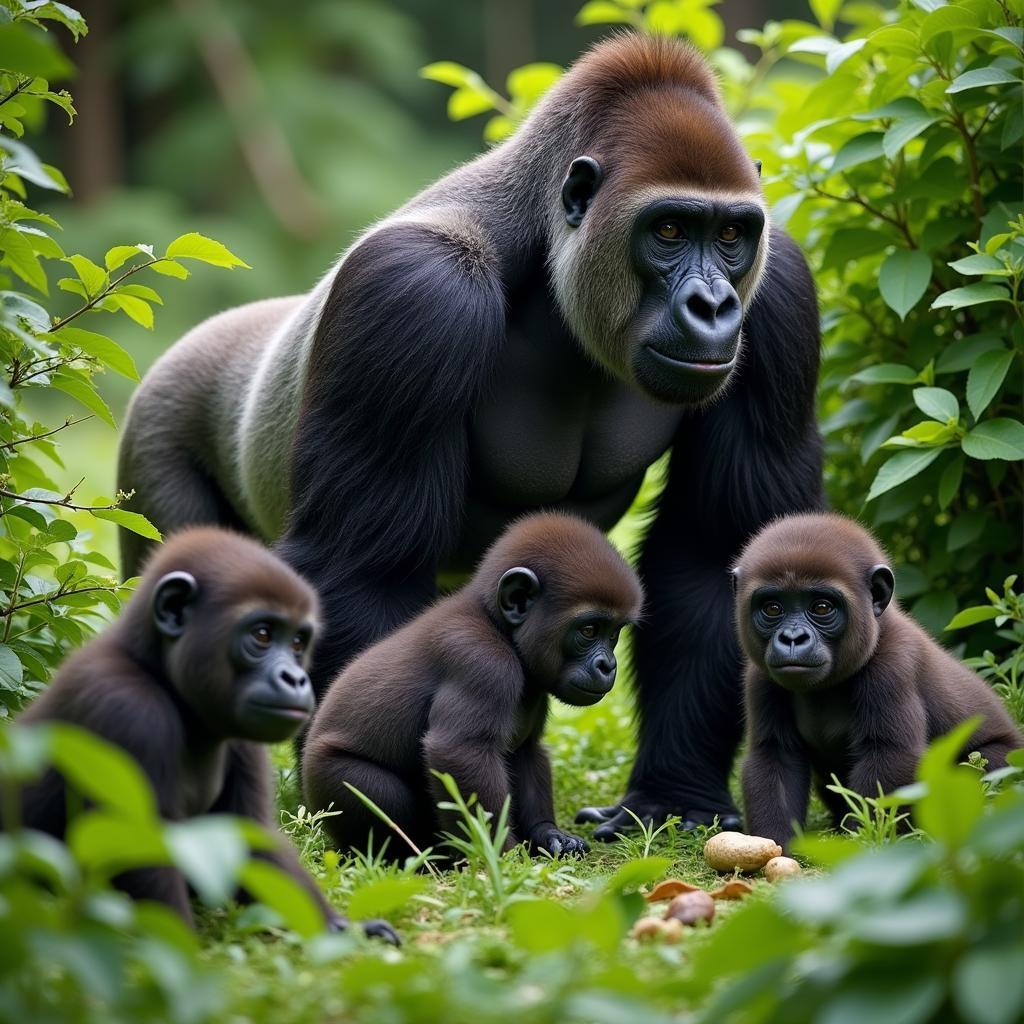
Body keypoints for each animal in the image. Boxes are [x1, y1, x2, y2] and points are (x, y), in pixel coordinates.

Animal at [18, 528, 399, 942]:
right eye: (262, 635)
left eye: (298, 643)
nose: (296, 679)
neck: (156, 672)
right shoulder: (127, 710)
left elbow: (251, 842)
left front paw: (343, 929)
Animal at [299, 512, 643, 856]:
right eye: (588, 630)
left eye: (613, 634)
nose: (607, 666)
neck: (497, 624)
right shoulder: (481, 661)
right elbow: (460, 752)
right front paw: (498, 856)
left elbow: (526, 751)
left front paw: (548, 833)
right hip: (327, 781)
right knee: (379, 794)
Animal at [737, 512, 1024, 847]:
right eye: (773, 608)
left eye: (821, 607)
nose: (793, 638)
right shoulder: (759, 679)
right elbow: (774, 755)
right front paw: (774, 844)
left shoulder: (893, 667)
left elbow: (888, 756)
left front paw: (864, 845)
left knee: (987, 761)